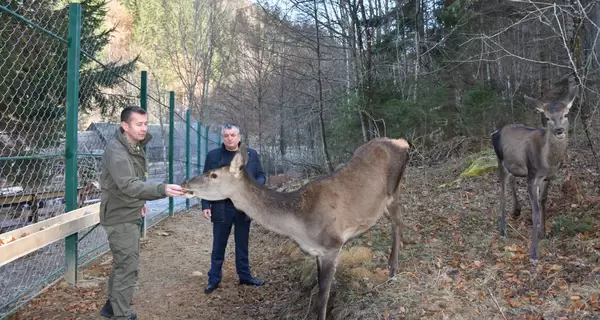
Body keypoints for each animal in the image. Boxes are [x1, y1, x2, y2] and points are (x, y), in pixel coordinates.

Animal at [180, 138, 410, 320]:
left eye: (213, 175)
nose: (185, 182)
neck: (301, 225)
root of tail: (403, 143)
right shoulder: (316, 251)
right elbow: (317, 288)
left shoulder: (332, 245)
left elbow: (323, 295)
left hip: (393, 191)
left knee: (399, 222)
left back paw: (393, 270)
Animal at [492, 84, 576, 262]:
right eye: (547, 117)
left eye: (566, 114)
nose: (559, 130)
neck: (548, 162)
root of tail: (495, 132)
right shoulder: (532, 176)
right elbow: (535, 209)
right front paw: (534, 253)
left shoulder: (548, 178)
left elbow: (543, 201)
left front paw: (543, 234)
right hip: (500, 161)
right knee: (502, 193)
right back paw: (503, 231)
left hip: (516, 166)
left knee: (512, 179)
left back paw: (516, 210)